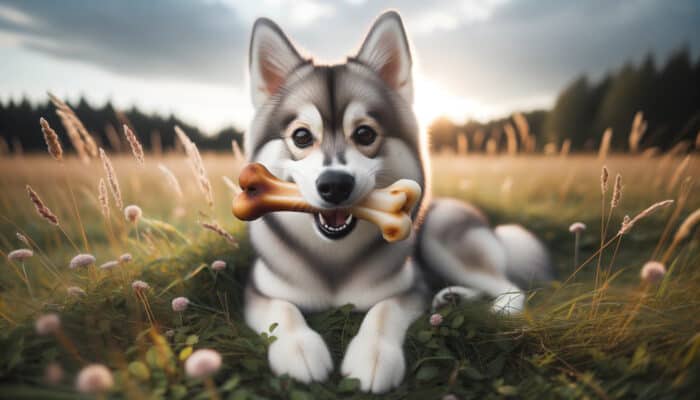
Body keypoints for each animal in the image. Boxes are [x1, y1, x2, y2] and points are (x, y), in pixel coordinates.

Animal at [241, 10, 552, 394]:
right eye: (301, 136)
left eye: (365, 134)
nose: (334, 185)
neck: (334, 260)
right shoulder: (259, 290)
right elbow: (282, 311)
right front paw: (299, 350)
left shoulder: (409, 287)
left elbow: (383, 312)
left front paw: (373, 358)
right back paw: (452, 298)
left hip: (442, 231)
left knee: (508, 286)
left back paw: (498, 309)